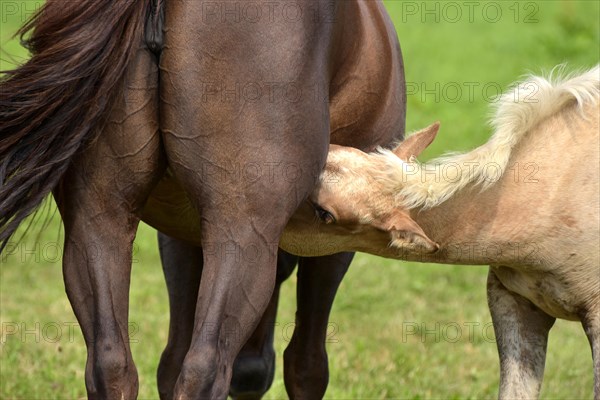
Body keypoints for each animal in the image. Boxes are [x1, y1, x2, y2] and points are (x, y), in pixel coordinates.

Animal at [0, 1, 406, 398]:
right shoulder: (336, 243)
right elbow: (306, 366)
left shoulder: (182, 234)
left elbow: (171, 362)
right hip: (240, 235)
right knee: (205, 367)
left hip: (99, 223)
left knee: (111, 363)